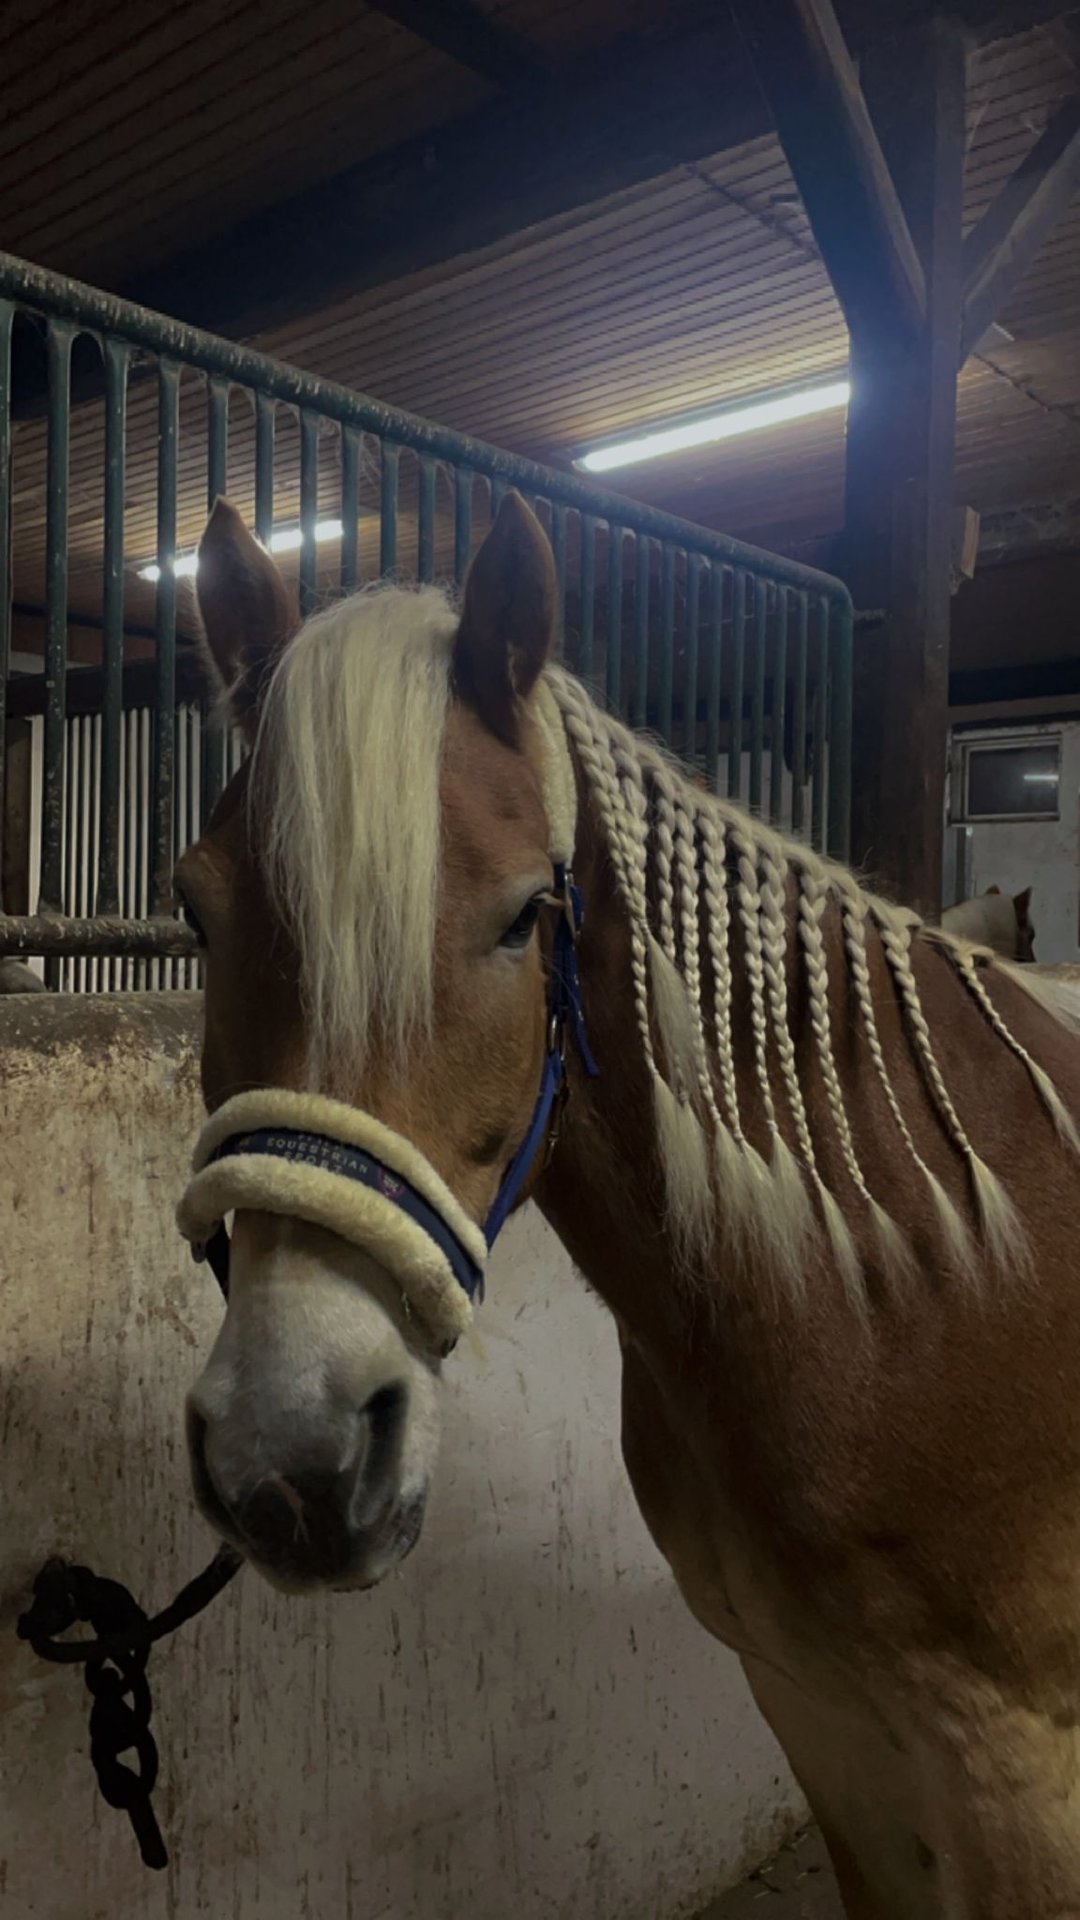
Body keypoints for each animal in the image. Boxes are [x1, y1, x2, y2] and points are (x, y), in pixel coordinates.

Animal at [175, 493, 1080, 1919]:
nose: (295, 1457)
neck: (913, 1286)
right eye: (195, 911)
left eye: (519, 919)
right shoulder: (832, 1730)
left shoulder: (1018, 1779)